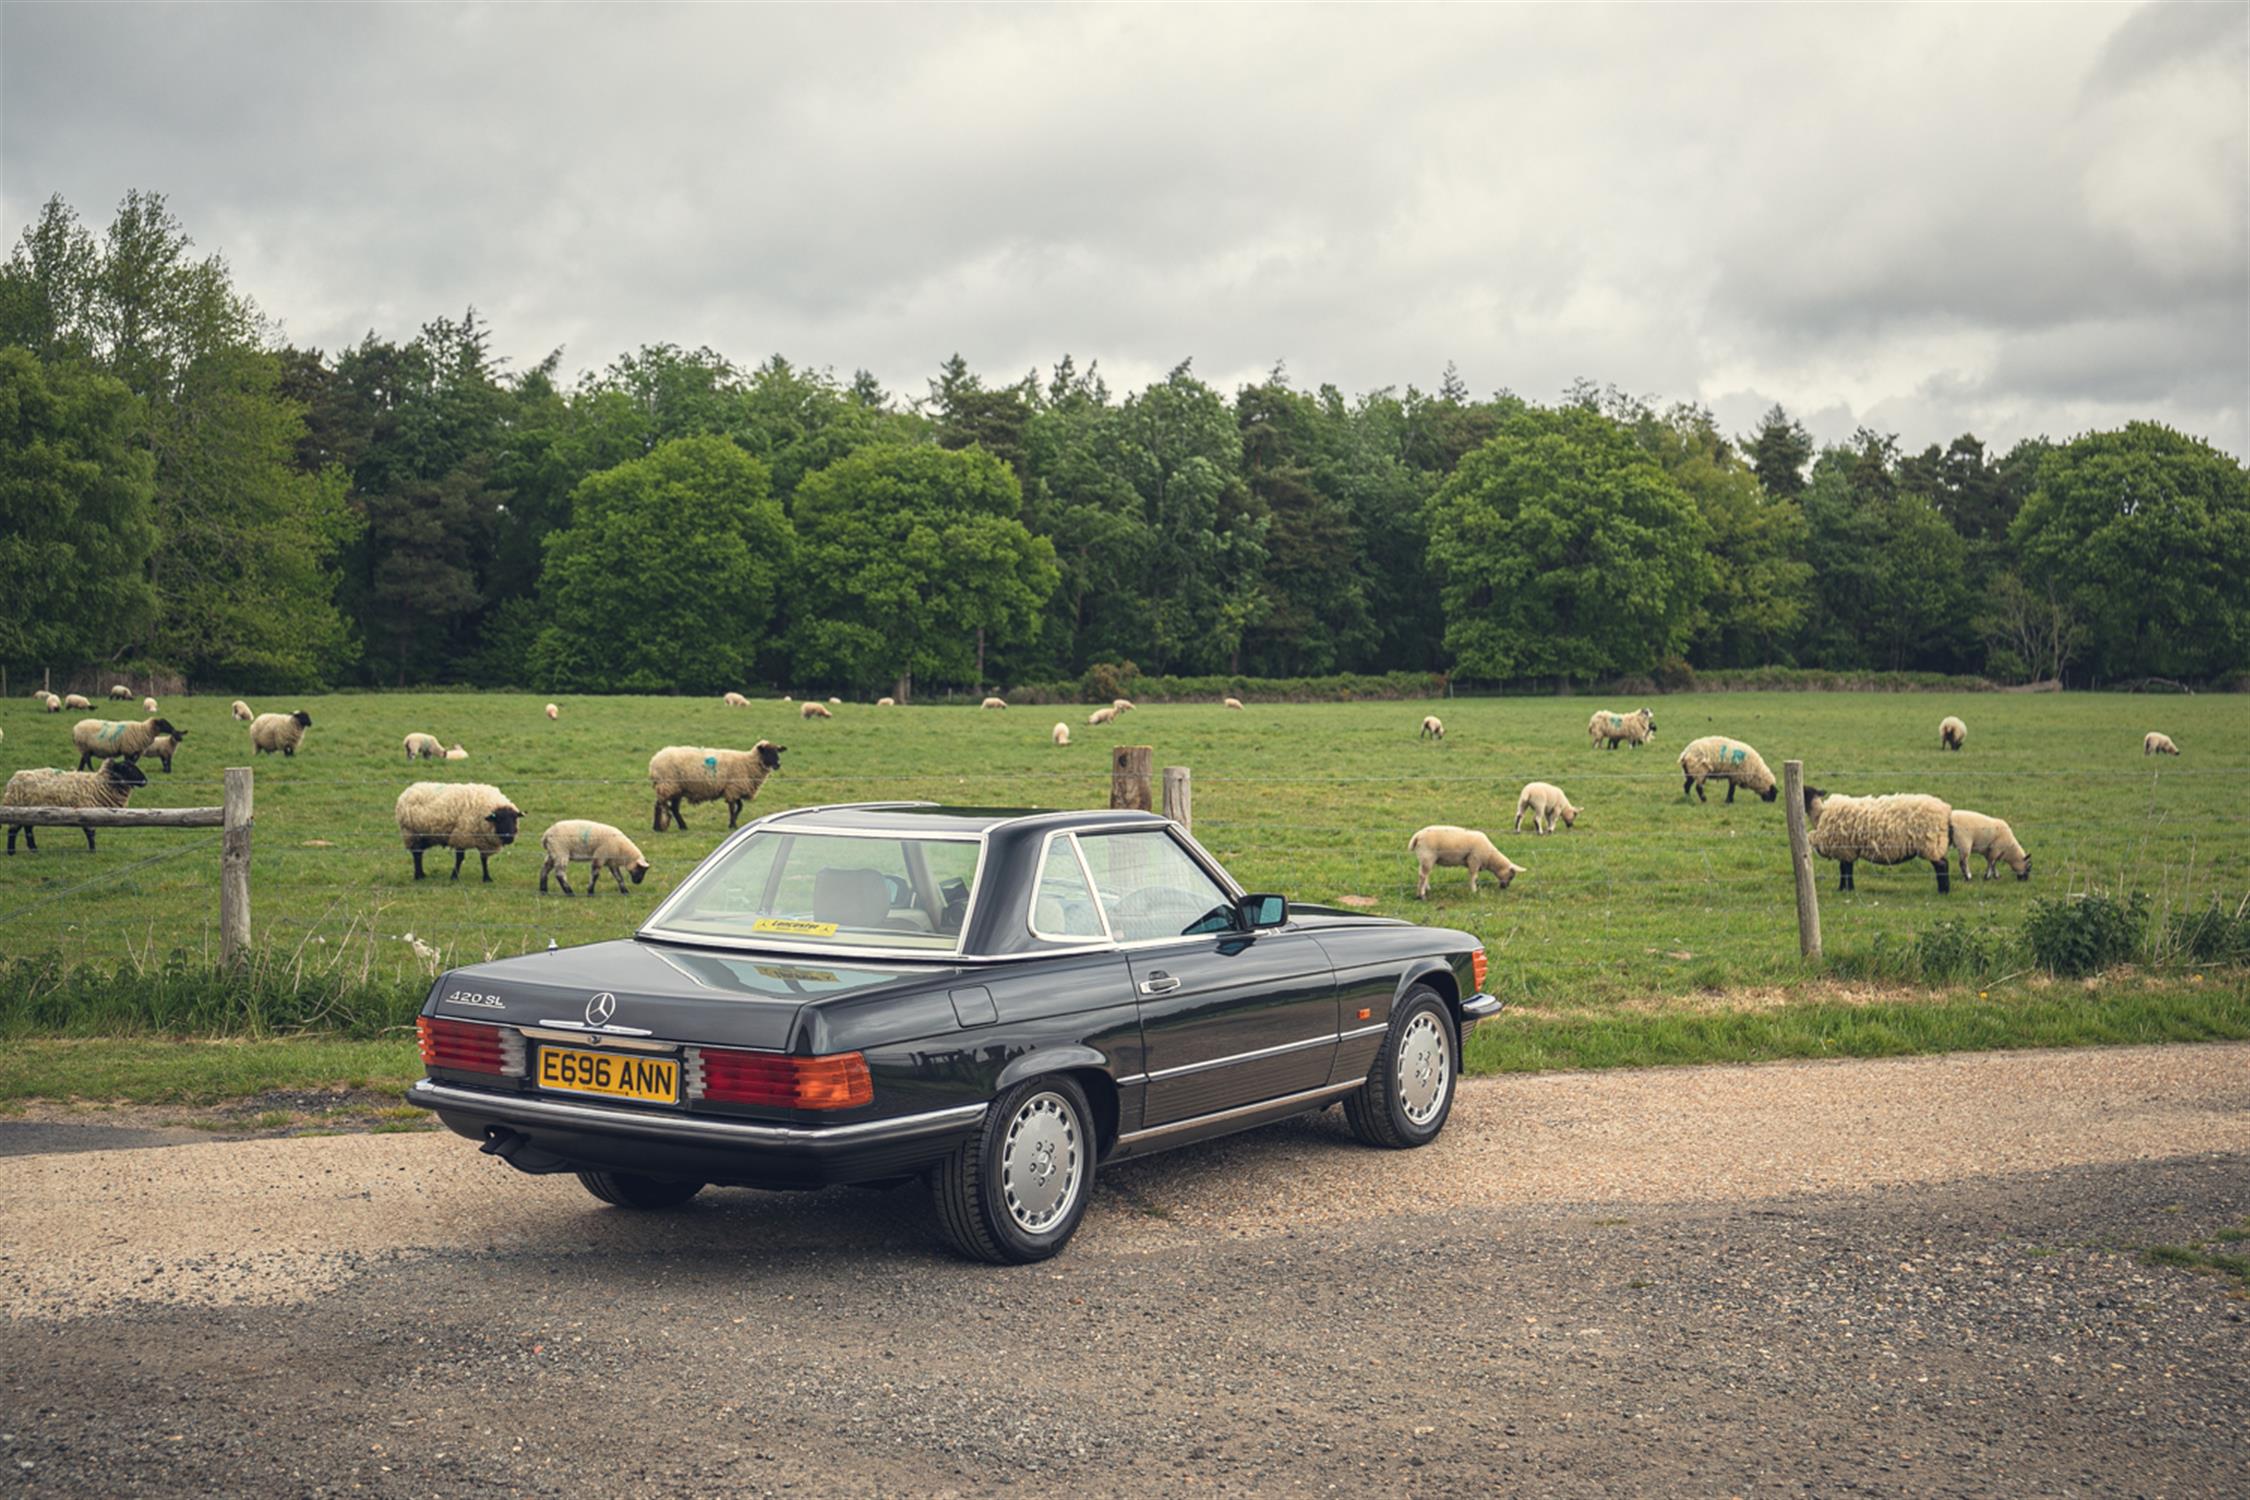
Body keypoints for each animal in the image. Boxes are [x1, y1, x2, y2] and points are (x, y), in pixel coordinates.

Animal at [3, 764, 150, 854]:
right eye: (128, 768)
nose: (145, 781)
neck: (100, 785)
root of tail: (12, 781)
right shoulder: (88, 811)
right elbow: (90, 833)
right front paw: (93, 851)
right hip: (18, 808)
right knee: (13, 831)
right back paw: (11, 852)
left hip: (29, 812)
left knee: (26, 829)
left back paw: (33, 849)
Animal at [648, 742, 787, 832]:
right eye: (768, 751)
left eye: (777, 751)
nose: (778, 764)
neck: (748, 762)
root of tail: (654, 761)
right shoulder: (733, 788)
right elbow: (733, 807)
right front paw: (733, 824)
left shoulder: (734, 789)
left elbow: (740, 807)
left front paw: (733, 822)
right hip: (667, 785)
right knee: (658, 805)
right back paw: (657, 827)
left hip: (677, 788)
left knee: (674, 808)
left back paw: (683, 827)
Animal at [1800, 791, 1962, 899]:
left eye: (1804, 792)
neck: (1820, 814)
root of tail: (1946, 810)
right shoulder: (1846, 850)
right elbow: (1845, 869)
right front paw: (1843, 889)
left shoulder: (1845, 849)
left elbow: (1846, 869)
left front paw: (1847, 889)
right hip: (1935, 844)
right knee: (1943, 864)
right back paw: (1944, 890)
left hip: (1930, 844)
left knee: (1942, 865)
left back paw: (1943, 891)